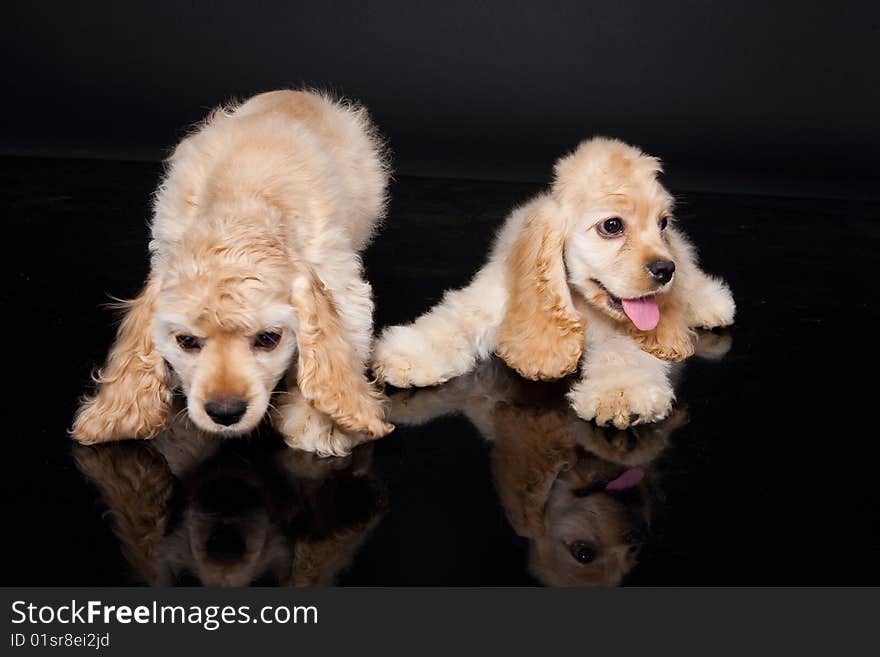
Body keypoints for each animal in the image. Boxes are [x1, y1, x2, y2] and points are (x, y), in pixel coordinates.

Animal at [70, 88, 394, 456]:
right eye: (186, 341)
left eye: (268, 339)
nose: (225, 412)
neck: (241, 205)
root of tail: (296, 92)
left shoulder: (340, 281)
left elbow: (343, 343)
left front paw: (324, 422)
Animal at [372, 136, 736, 428]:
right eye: (612, 225)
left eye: (662, 223)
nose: (664, 270)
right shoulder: (494, 296)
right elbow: (455, 321)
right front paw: (409, 354)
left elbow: (624, 354)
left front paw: (621, 395)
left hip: (681, 258)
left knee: (690, 274)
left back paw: (712, 304)